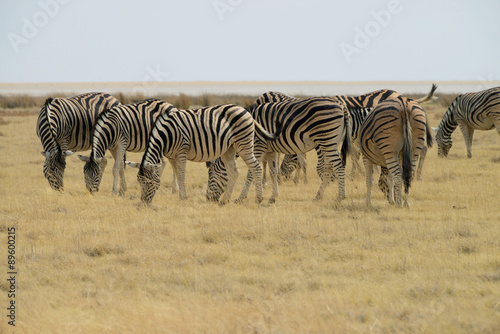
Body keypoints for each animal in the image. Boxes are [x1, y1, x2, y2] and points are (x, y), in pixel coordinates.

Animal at [137, 103, 280, 204]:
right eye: (139, 182)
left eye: (148, 182)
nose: (144, 202)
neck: (166, 136)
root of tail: (247, 112)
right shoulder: (172, 156)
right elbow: (177, 174)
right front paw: (180, 195)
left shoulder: (181, 152)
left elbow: (181, 175)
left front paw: (182, 198)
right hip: (229, 148)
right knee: (234, 172)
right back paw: (225, 200)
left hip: (243, 144)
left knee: (256, 168)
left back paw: (258, 199)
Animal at [206, 94, 352, 204]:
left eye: (210, 176)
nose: (208, 199)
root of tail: (341, 105)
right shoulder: (271, 150)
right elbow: (273, 172)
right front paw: (273, 197)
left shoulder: (258, 145)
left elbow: (251, 172)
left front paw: (242, 198)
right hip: (330, 143)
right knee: (328, 168)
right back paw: (319, 196)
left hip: (327, 140)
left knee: (339, 166)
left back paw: (340, 197)